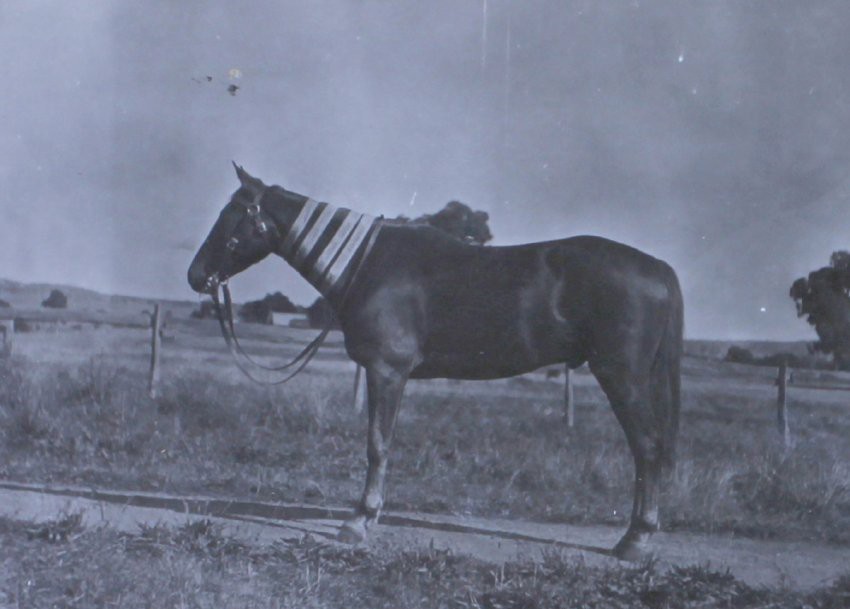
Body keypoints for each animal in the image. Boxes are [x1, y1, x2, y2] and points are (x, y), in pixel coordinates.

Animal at [187, 164, 683, 560]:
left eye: (233, 215)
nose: (196, 275)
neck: (366, 264)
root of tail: (658, 268)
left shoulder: (387, 371)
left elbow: (377, 444)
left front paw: (359, 521)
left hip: (621, 376)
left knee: (647, 447)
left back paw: (635, 539)